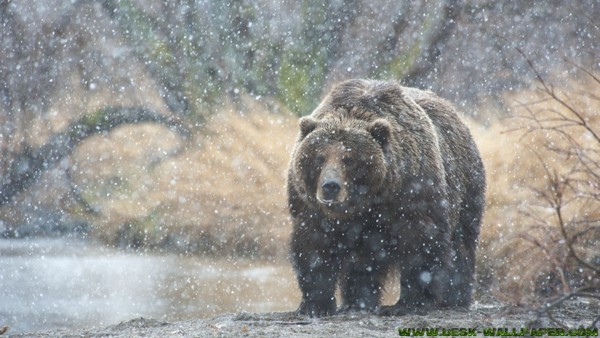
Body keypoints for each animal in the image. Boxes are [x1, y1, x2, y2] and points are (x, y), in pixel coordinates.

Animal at [288, 79, 488, 316]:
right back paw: (356, 301)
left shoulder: (412, 192)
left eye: (349, 159)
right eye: (320, 157)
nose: (330, 186)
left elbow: (420, 242)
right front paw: (315, 305)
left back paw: (455, 297)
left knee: (461, 243)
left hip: (466, 187)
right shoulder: (311, 207)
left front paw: (409, 303)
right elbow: (313, 247)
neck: (365, 203)